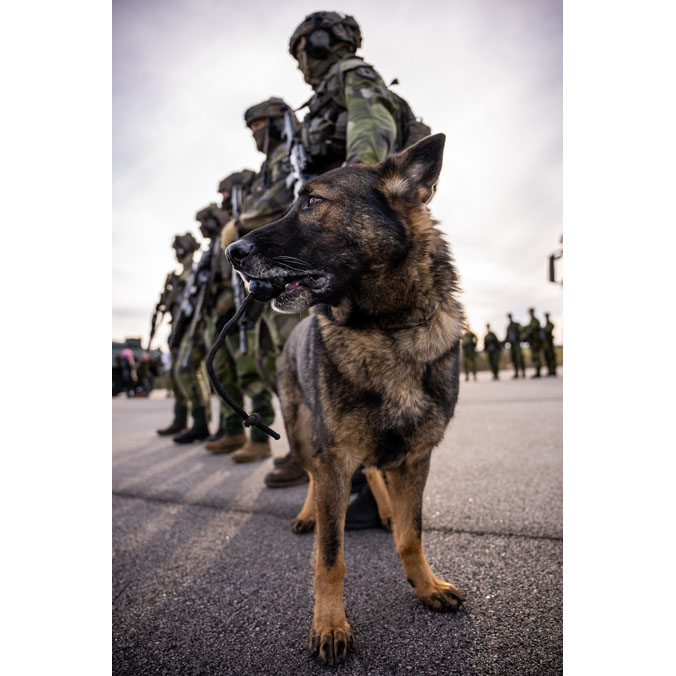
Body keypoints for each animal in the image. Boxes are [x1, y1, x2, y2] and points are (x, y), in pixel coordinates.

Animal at [227, 135, 464, 664]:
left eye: (314, 202)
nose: (232, 250)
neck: (386, 330)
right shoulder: (335, 457)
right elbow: (329, 557)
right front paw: (331, 625)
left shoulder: (417, 456)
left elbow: (410, 535)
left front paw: (426, 586)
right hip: (300, 434)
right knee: (313, 478)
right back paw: (308, 514)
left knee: (373, 472)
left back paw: (383, 507)